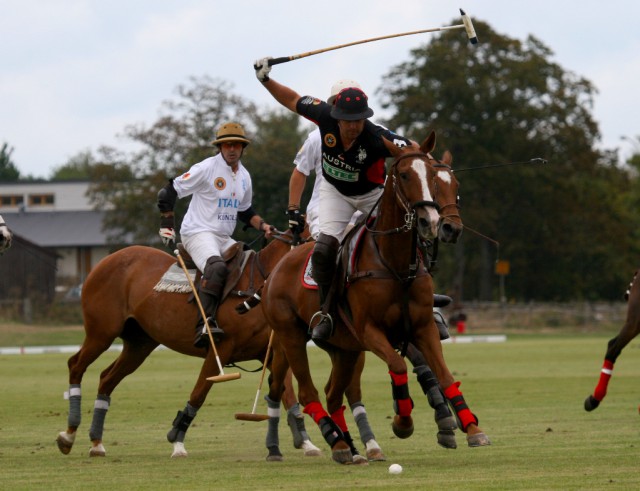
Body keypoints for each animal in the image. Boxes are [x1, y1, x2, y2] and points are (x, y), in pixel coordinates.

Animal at [55, 229, 320, 460]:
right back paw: (68, 435)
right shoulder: (220, 350)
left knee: (107, 378)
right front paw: (177, 441)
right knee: (75, 364)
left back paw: (96, 443)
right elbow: (199, 393)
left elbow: (288, 396)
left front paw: (306, 442)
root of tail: (103, 261)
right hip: (101, 333)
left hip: (139, 344)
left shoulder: (273, 352)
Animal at [260, 132, 490, 466]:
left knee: (332, 393)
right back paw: (337, 444)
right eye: (405, 175)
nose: (441, 225)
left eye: (447, 182)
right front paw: (403, 423)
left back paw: (350, 446)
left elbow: (443, 374)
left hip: (344, 348)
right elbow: (398, 366)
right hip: (290, 335)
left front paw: (469, 426)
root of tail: (276, 267)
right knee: (306, 391)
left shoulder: (422, 327)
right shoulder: (370, 330)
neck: (395, 263)